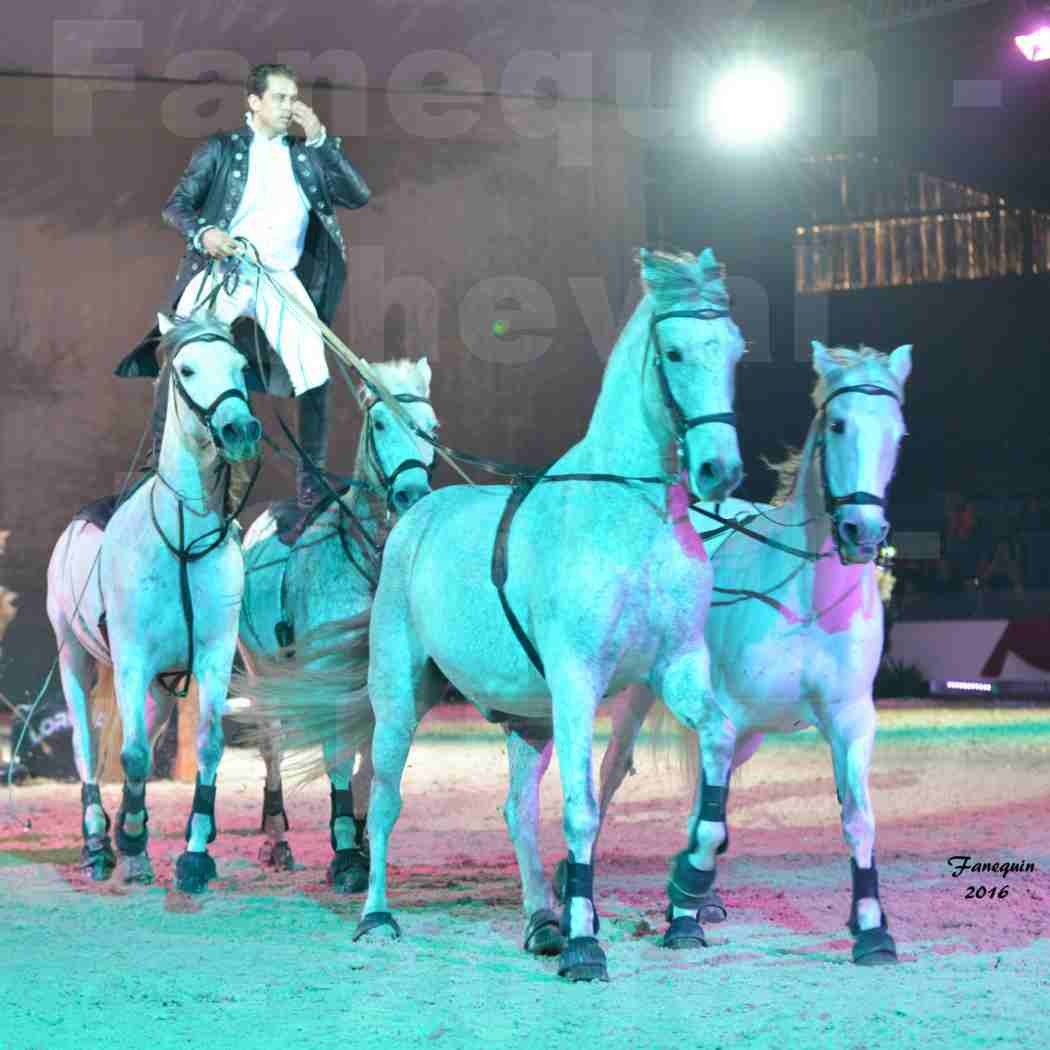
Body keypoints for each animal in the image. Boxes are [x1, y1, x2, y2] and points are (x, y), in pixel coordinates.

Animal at [46, 312, 262, 894]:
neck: (181, 536)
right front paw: (134, 849)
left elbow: (208, 746)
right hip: (74, 656)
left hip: (163, 683)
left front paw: (194, 856)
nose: (240, 429)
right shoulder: (131, 659)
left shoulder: (209, 659)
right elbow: (134, 754)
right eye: (186, 369)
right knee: (86, 746)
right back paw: (98, 846)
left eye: (241, 366)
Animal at [236, 354, 436, 886]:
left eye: (430, 428)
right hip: (262, 670)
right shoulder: (327, 676)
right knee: (272, 743)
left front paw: (365, 842)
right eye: (380, 423)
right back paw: (277, 840)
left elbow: (372, 758)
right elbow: (340, 756)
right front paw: (346, 850)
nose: (411, 493)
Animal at [262, 247, 747, 982]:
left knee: (516, 810)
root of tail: (414, 518)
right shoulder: (578, 682)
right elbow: (581, 809)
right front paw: (585, 947)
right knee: (384, 799)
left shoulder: (678, 668)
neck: (628, 519)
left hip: (527, 717)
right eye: (674, 350)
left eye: (736, 350)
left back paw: (542, 920)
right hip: (400, 696)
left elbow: (717, 745)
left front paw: (687, 889)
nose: (722, 470)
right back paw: (377, 917)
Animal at [575, 340, 911, 961]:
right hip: (643, 697)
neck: (804, 600)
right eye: (838, 424)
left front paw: (873, 929)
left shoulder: (852, 719)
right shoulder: (724, 711)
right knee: (612, 774)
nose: (864, 532)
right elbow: (707, 819)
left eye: (897, 433)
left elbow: (858, 820)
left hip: (751, 734)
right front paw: (682, 917)